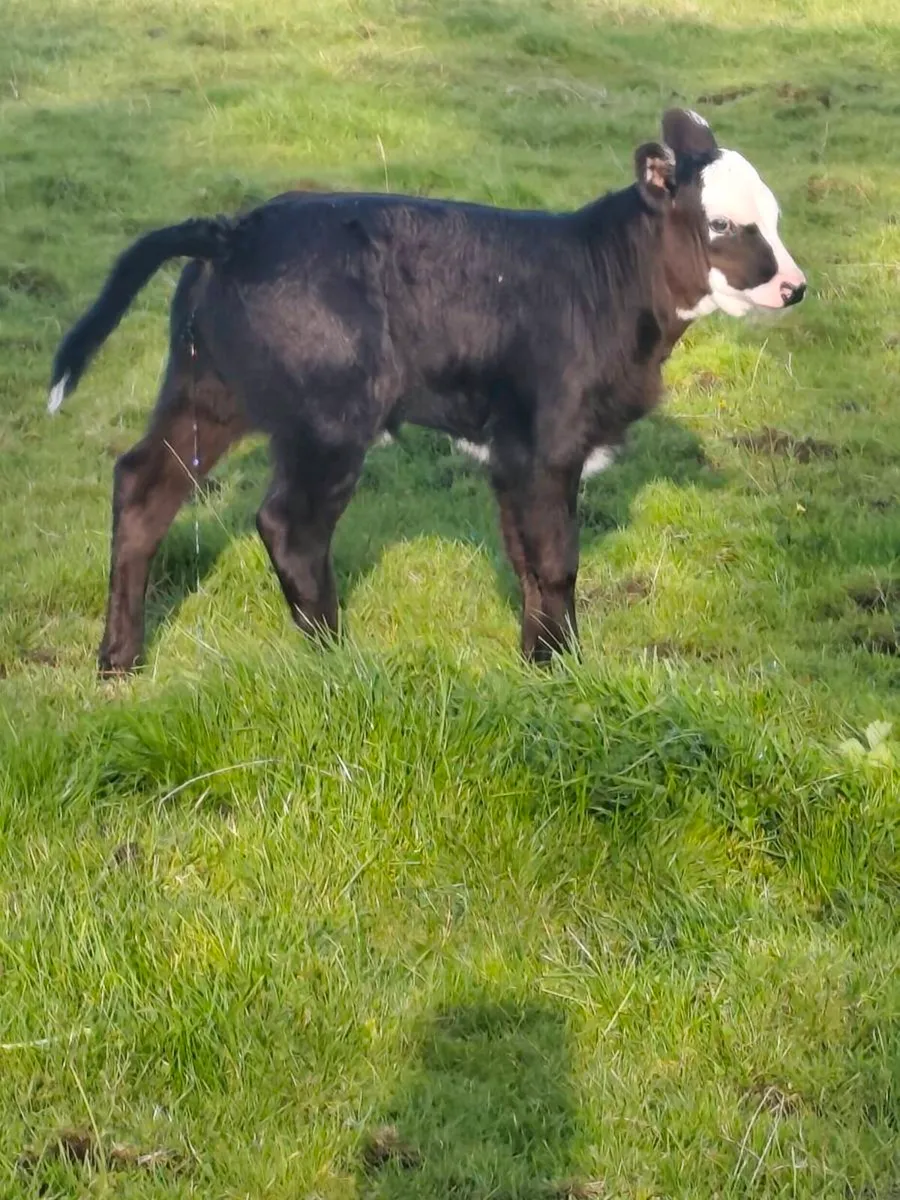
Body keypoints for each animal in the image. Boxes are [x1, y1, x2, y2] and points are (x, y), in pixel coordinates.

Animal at [47, 108, 805, 673]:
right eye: (722, 225)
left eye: (774, 217)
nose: (794, 287)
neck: (608, 282)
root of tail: (235, 230)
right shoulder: (547, 444)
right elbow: (557, 561)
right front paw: (567, 667)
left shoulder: (512, 455)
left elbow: (526, 560)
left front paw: (539, 663)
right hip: (328, 421)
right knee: (289, 524)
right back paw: (335, 657)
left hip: (207, 393)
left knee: (144, 487)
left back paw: (119, 659)